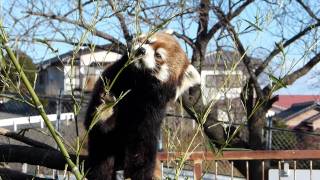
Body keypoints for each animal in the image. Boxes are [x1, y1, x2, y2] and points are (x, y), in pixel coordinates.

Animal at [85, 31, 200, 179]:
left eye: (158, 55)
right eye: (149, 41)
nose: (141, 50)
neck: (138, 83)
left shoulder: (152, 109)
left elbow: (142, 146)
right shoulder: (110, 80)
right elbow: (93, 124)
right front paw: (105, 111)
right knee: (102, 160)